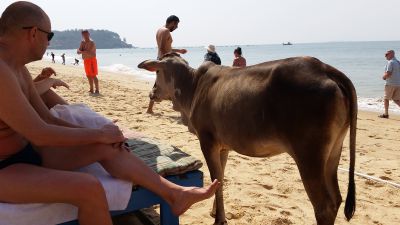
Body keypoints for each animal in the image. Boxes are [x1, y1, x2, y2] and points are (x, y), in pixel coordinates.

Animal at [138, 53, 356, 225]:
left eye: (157, 72)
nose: (151, 92)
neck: (192, 88)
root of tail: (325, 69)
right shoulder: (223, 146)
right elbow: (220, 178)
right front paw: (215, 212)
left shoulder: (207, 141)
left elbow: (217, 179)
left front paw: (219, 219)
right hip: (333, 152)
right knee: (336, 199)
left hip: (309, 156)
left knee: (324, 206)